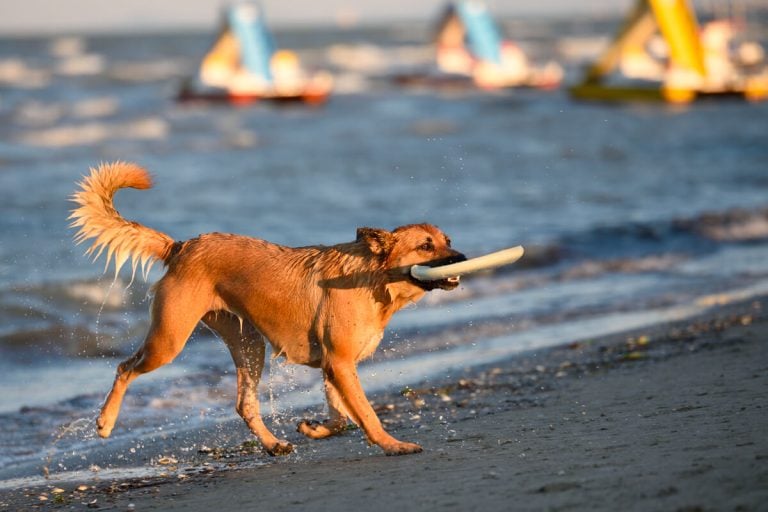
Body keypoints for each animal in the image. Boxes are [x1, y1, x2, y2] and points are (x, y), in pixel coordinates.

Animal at [72, 161, 464, 456]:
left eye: (447, 240)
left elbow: (340, 417)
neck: (374, 279)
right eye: (425, 246)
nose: (461, 257)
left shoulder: (334, 366)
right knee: (124, 368)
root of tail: (182, 246)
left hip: (249, 344)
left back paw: (274, 444)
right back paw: (105, 422)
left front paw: (314, 428)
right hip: (168, 340)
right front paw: (392, 445)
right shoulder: (340, 362)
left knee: (245, 405)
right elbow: (366, 414)